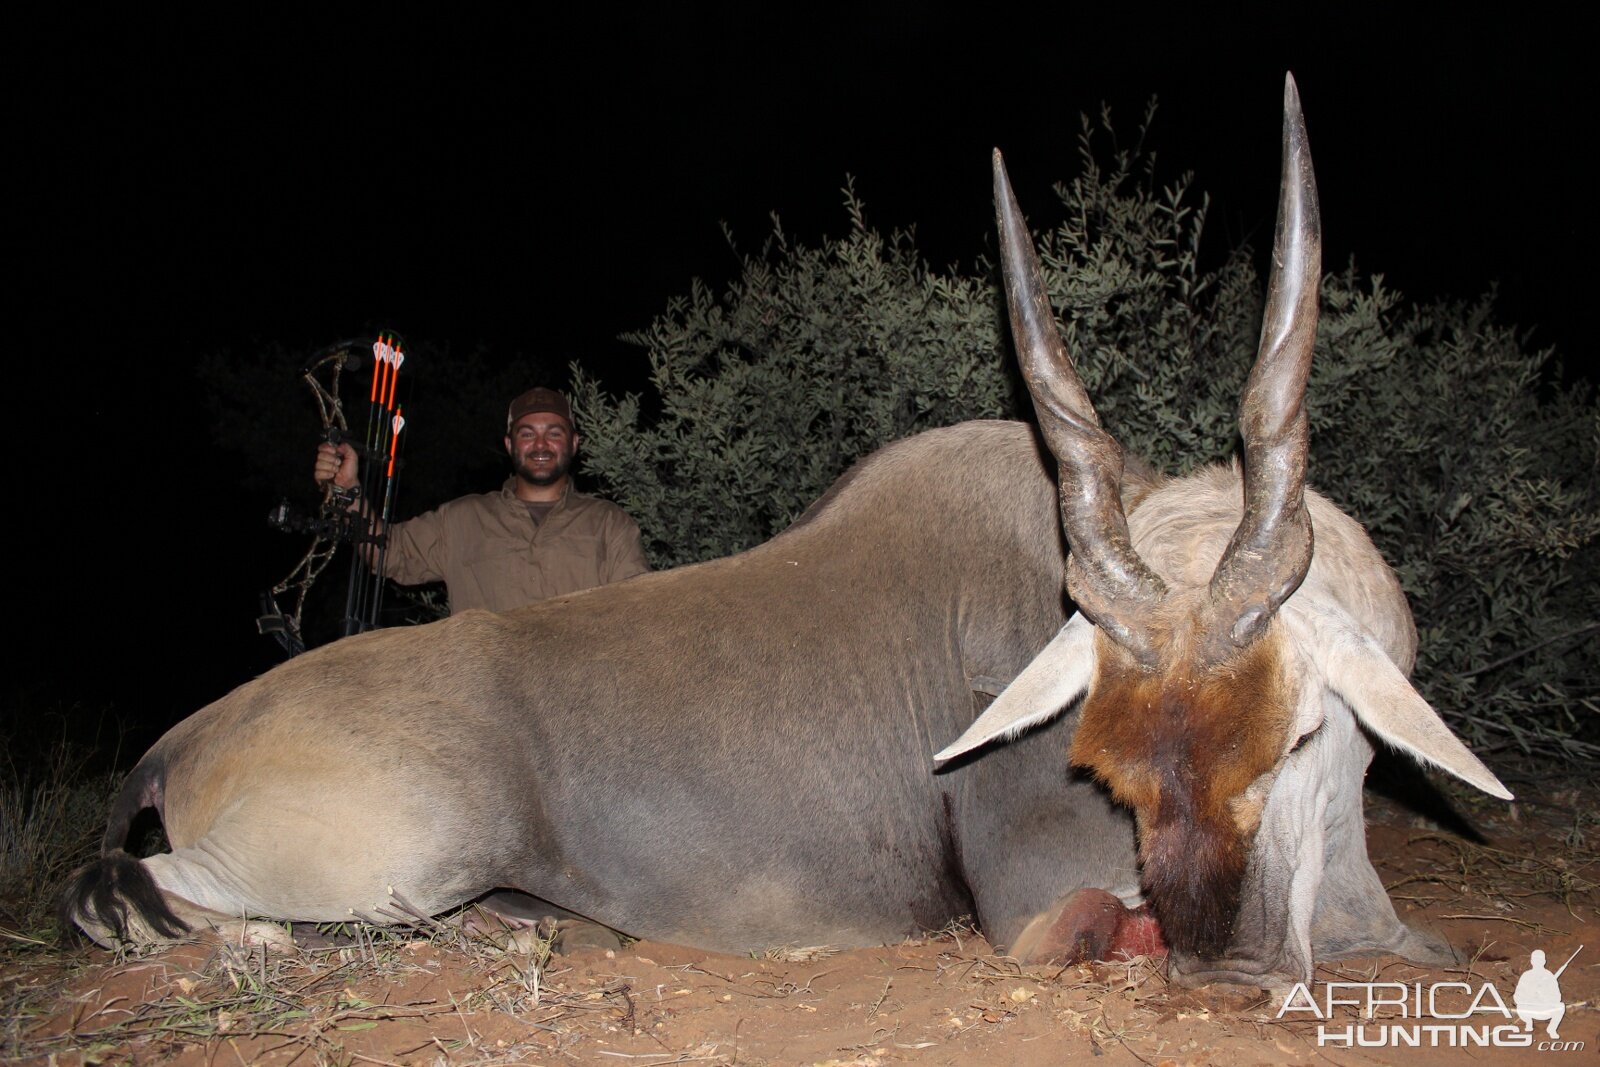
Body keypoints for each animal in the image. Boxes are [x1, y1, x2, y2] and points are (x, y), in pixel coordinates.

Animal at [65, 77, 1510, 991]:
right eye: (1094, 758)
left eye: (1302, 735)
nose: (1231, 949)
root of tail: (181, 738)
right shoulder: (1046, 903)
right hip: (403, 850)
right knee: (146, 895)